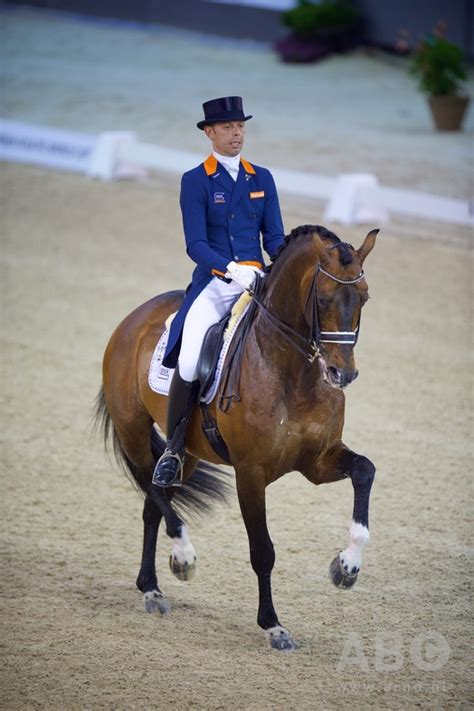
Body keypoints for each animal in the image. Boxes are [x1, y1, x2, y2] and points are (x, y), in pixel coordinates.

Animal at [94, 225, 380, 652]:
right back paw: (183, 558)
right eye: (323, 298)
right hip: (133, 432)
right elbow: (262, 550)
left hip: (188, 452)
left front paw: (347, 567)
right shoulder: (251, 473)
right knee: (152, 487)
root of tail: (135, 318)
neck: (291, 371)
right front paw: (273, 625)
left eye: (363, 296)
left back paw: (153, 587)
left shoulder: (318, 461)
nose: (341, 374)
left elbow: (365, 471)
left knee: (153, 503)